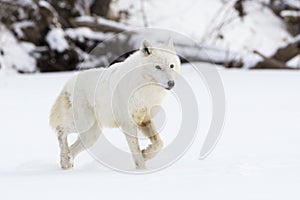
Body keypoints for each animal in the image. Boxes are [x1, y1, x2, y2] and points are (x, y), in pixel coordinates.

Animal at [49, 38, 180, 170]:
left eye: (171, 66)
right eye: (158, 67)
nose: (171, 83)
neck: (144, 89)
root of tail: (69, 81)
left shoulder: (144, 120)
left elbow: (159, 143)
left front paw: (146, 154)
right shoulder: (128, 123)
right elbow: (136, 151)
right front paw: (141, 169)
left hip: (91, 136)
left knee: (72, 148)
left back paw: (66, 163)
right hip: (84, 124)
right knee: (60, 130)